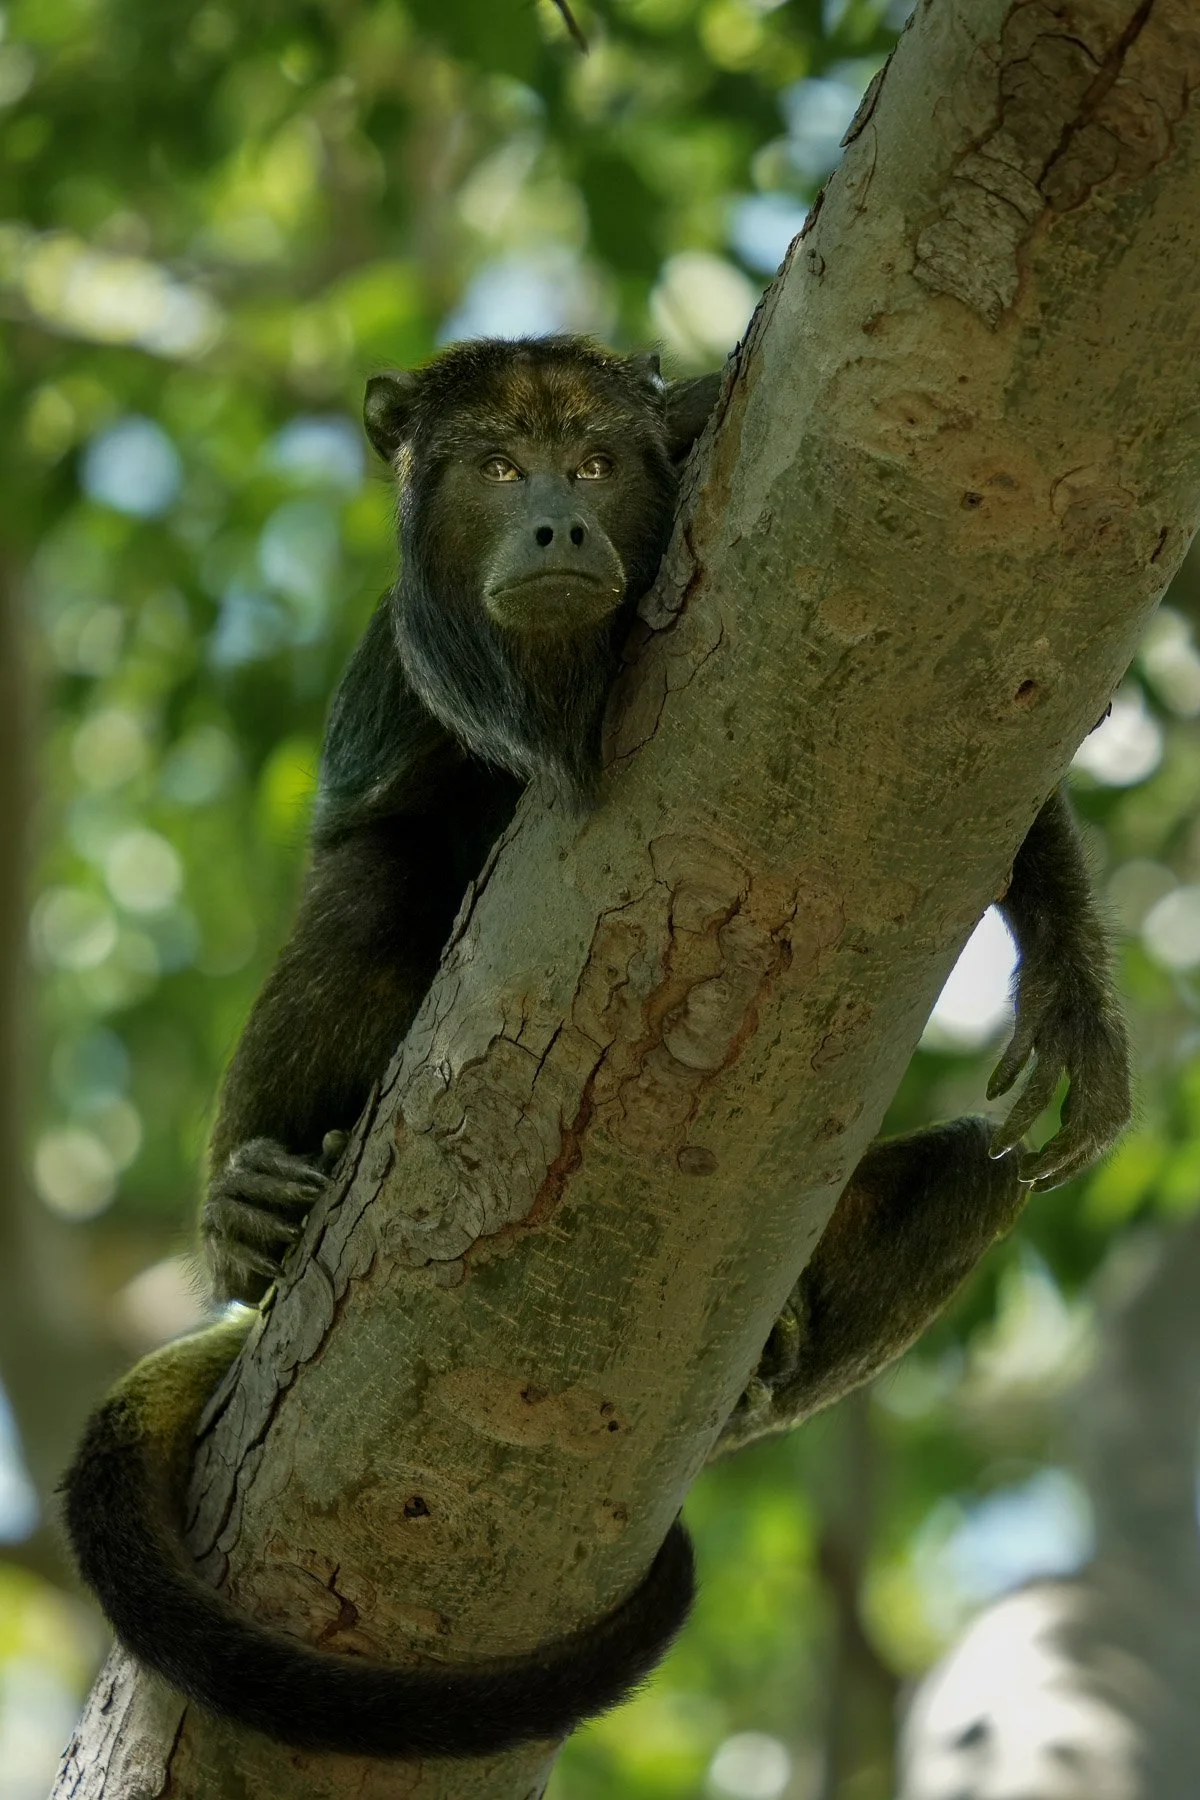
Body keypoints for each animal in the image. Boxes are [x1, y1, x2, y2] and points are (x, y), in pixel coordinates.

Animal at [62, 335, 1131, 1760]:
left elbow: (1009, 739)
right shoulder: (405, 672)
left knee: (978, 1171)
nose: (557, 520)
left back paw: (770, 1356)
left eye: (598, 462)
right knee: (372, 885)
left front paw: (1073, 987)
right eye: (498, 470)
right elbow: (362, 835)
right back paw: (258, 1217)